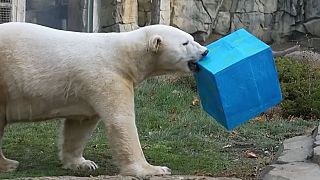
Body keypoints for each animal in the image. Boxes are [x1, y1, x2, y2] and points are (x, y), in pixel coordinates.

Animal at [0, 22, 208, 176]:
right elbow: (121, 122)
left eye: (192, 39)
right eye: (185, 43)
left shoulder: (84, 89)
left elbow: (80, 125)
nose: (205, 51)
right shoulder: (108, 76)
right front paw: (155, 169)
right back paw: (9, 164)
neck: (125, 55)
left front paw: (83, 163)